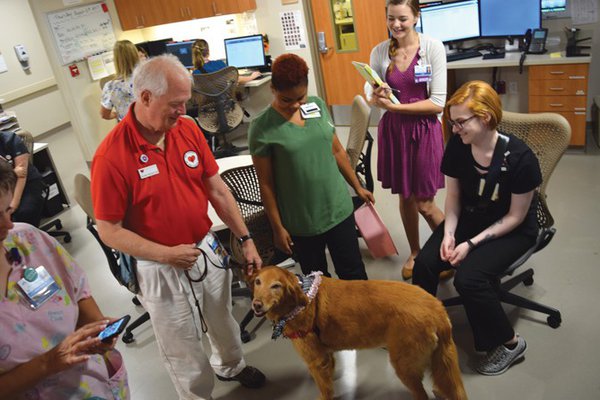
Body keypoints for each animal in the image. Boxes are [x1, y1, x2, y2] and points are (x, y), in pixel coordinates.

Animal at [251, 266, 466, 400]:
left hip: (404, 366)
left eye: (276, 286)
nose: (256, 305)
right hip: (440, 361)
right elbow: (329, 378)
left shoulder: (316, 361)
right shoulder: (326, 356)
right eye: (257, 282)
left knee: (422, 395)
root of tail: (437, 309)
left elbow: (325, 389)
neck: (301, 298)